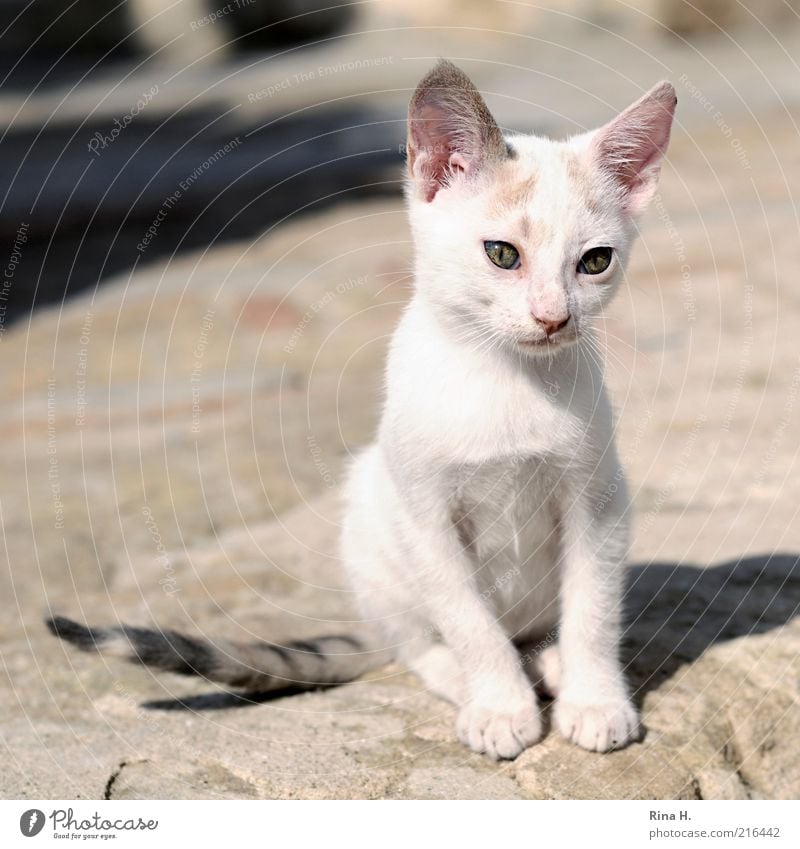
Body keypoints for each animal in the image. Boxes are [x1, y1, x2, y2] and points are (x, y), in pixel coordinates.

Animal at [50, 59, 676, 760]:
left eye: (595, 262)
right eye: (502, 254)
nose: (553, 318)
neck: (506, 380)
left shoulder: (598, 500)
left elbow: (592, 610)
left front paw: (596, 699)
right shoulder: (425, 515)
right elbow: (468, 622)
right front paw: (498, 704)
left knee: (536, 629)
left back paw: (550, 661)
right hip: (372, 527)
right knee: (417, 644)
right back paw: (483, 676)